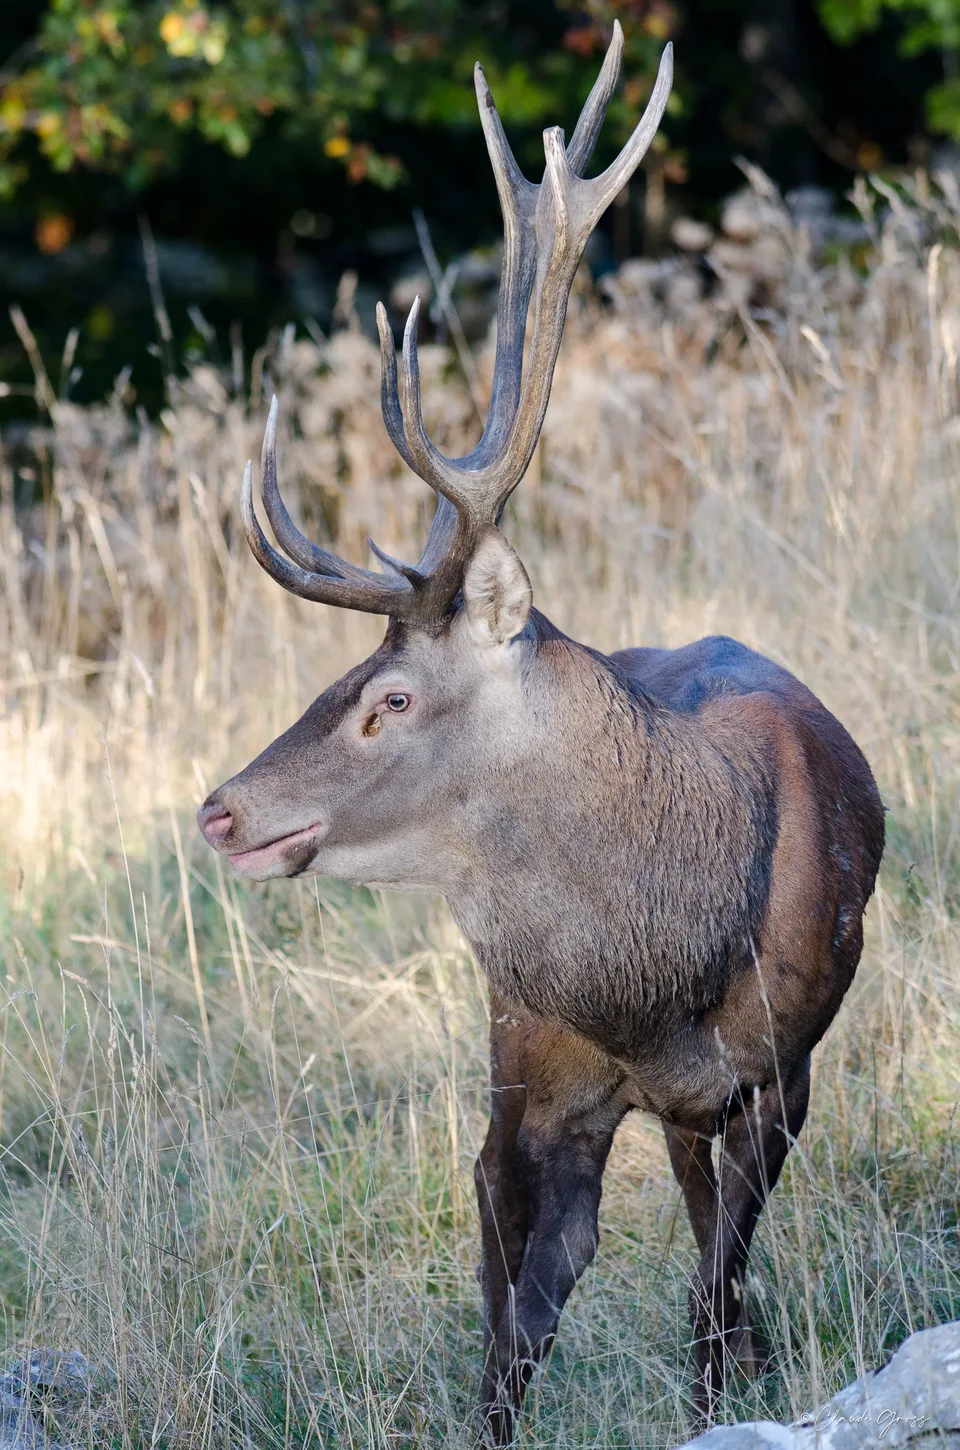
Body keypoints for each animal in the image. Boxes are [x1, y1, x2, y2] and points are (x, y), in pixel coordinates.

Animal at [197, 25, 885, 1444]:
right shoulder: (526, 1067)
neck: (648, 974)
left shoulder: (772, 1077)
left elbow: (709, 1307)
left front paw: (727, 1396)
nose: (220, 807)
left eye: (390, 699)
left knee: (719, 1273)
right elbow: (511, 1331)